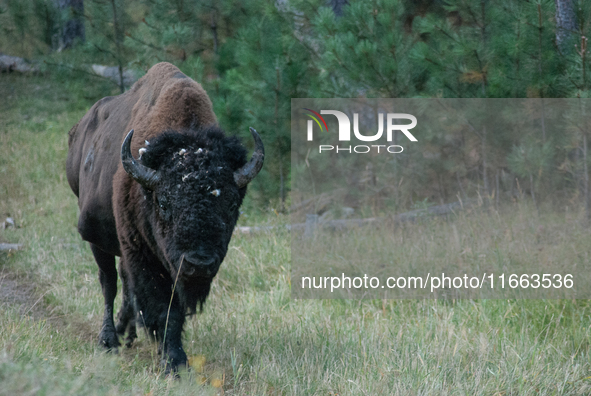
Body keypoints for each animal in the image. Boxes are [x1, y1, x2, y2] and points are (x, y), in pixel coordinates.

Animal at [65, 61, 266, 372]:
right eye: (163, 202)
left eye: (232, 204)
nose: (200, 263)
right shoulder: (143, 254)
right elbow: (161, 306)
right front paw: (172, 362)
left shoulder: (171, 267)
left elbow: (172, 307)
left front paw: (174, 357)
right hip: (96, 237)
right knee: (109, 282)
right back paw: (109, 340)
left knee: (124, 282)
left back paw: (128, 333)